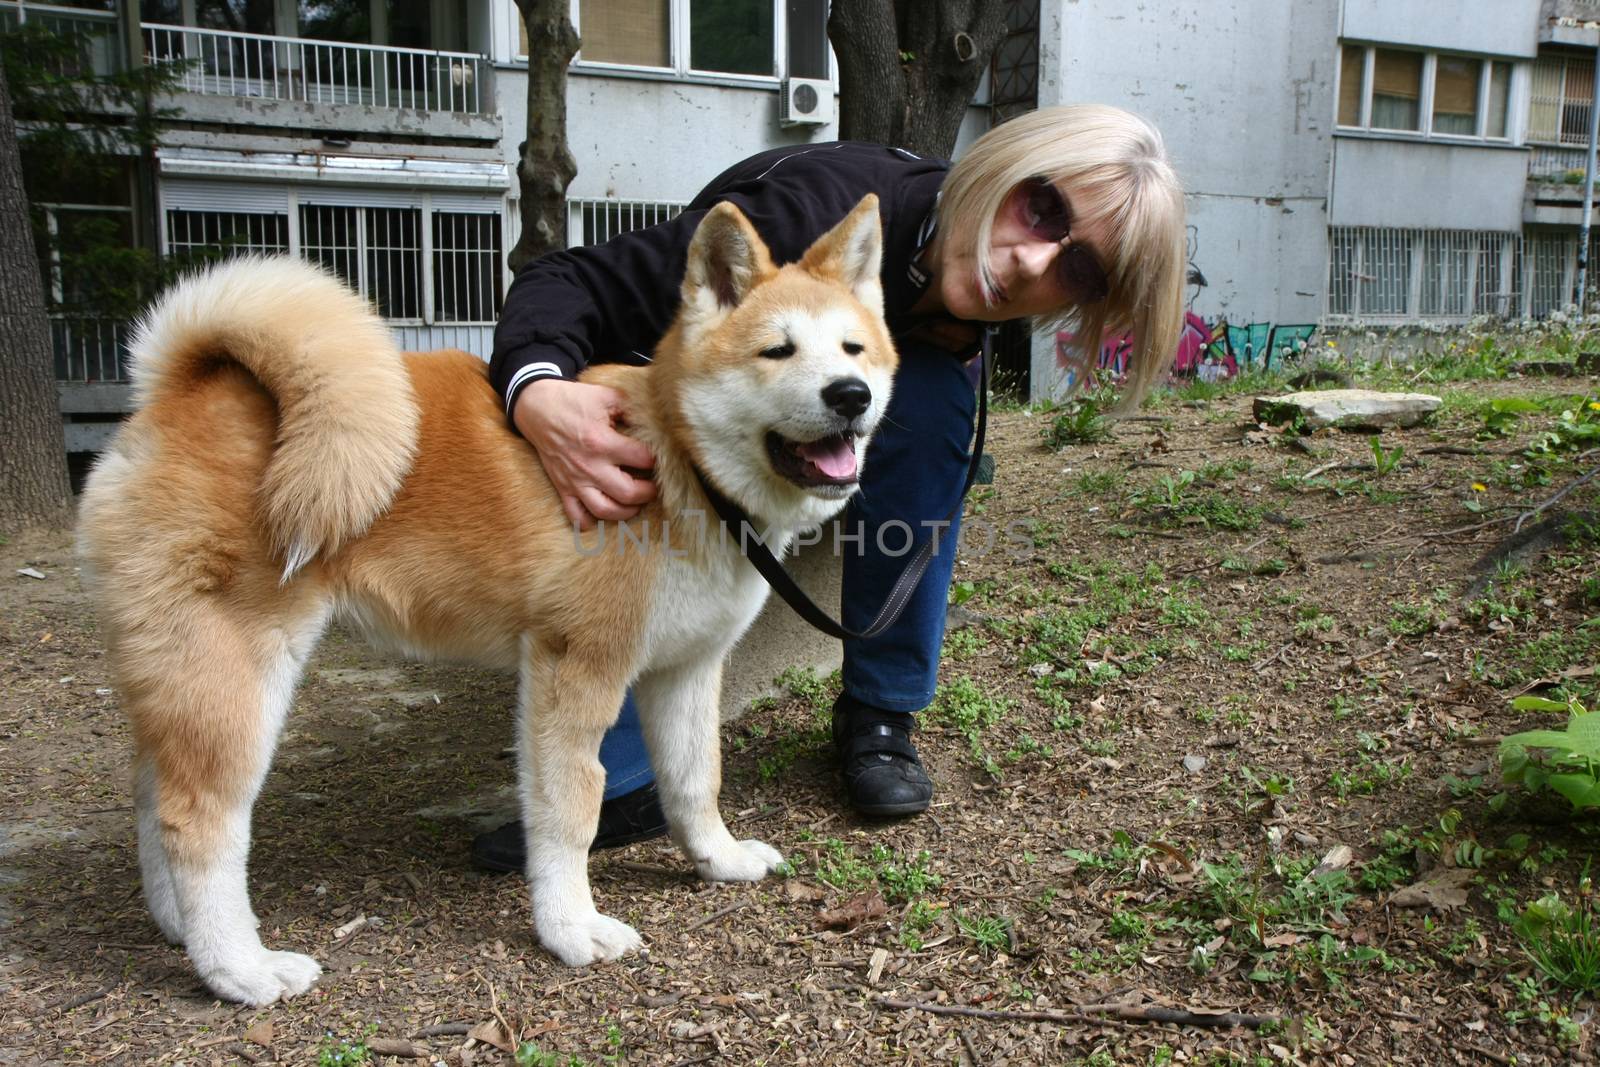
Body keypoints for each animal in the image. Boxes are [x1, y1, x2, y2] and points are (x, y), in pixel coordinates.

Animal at [78, 195, 902, 1004]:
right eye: (777, 351)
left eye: (853, 350)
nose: (850, 396)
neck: (676, 463)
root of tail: (176, 392)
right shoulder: (574, 671)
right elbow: (572, 812)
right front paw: (571, 929)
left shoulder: (685, 670)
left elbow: (696, 779)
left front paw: (718, 861)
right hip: (239, 680)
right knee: (196, 822)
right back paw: (240, 969)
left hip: (183, 679)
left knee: (151, 799)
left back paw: (181, 932)